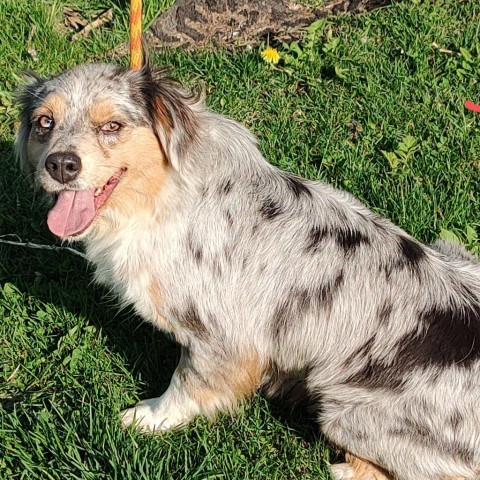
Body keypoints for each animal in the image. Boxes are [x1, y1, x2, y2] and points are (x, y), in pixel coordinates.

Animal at [15, 63, 480, 480]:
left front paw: (148, 418)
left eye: (112, 125)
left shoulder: (223, 337)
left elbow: (186, 384)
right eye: (44, 122)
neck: (165, 196)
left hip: (343, 408)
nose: (61, 165)